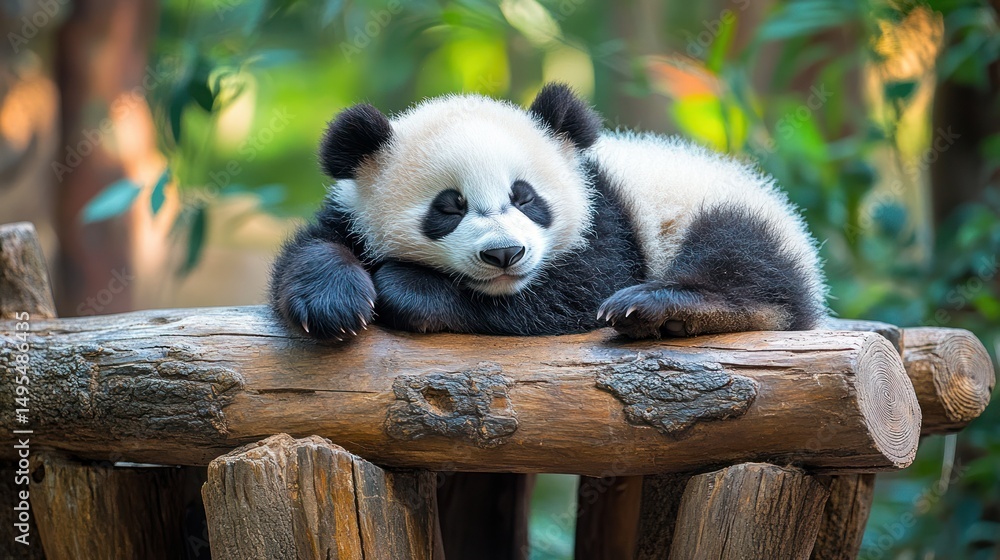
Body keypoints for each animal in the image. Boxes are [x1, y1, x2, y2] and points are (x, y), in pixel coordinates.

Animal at [269, 83, 827, 340]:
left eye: (525, 197)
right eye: (449, 207)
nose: (504, 254)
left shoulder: (606, 218)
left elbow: (578, 290)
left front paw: (407, 288)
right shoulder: (348, 210)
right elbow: (312, 250)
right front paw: (335, 303)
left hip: (726, 207)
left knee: (745, 263)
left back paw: (664, 306)